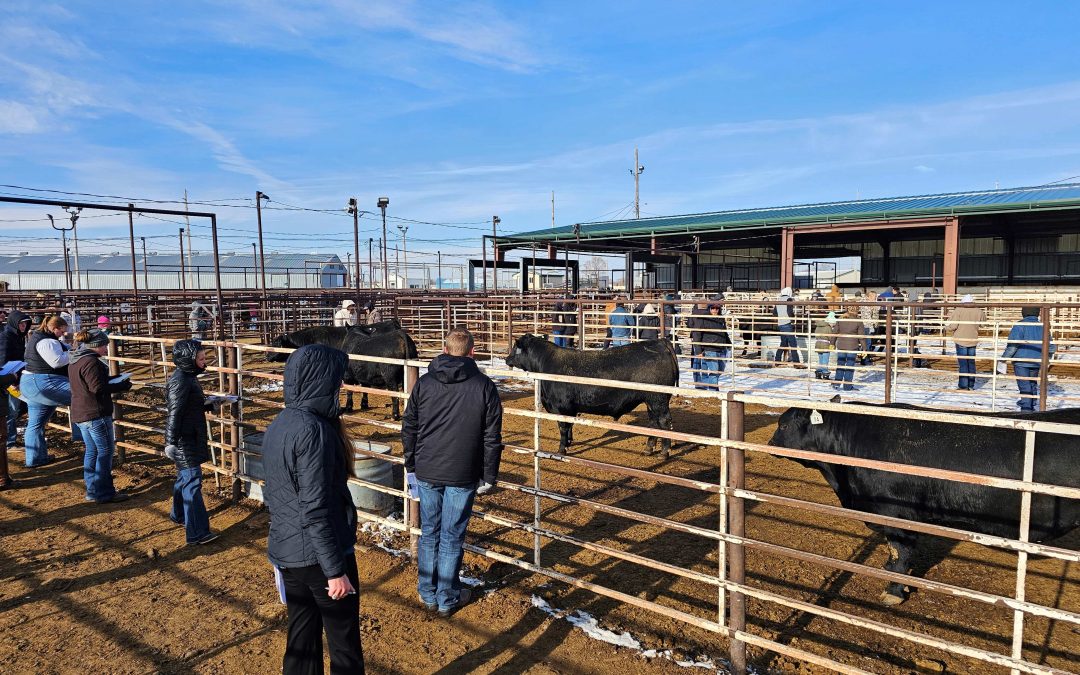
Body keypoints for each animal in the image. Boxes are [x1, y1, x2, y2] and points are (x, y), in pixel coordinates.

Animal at [267, 319, 414, 419]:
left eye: (276, 343)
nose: (267, 355)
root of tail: (399, 332)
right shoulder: (363, 373)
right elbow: (364, 389)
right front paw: (363, 405)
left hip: (390, 378)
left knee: (395, 394)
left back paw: (395, 415)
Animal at [503, 332, 673, 457]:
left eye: (515, 347)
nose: (506, 359)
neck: (546, 363)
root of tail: (661, 342)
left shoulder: (560, 407)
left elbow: (563, 427)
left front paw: (561, 449)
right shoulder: (571, 408)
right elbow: (570, 426)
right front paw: (569, 443)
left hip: (658, 400)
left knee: (664, 421)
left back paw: (664, 452)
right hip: (651, 401)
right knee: (653, 422)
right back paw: (648, 449)